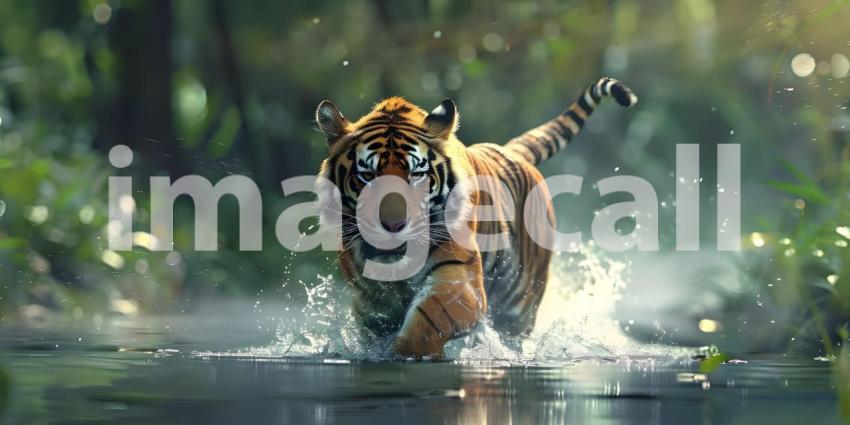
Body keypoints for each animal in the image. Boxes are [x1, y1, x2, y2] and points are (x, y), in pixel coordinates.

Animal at [314, 77, 637, 359]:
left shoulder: (461, 285)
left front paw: (404, 355)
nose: (393, 226)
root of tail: (508, 150)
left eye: (416, 174)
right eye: (367, 176)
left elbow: (427, 323)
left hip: (518, 305)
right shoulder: (370, 302)